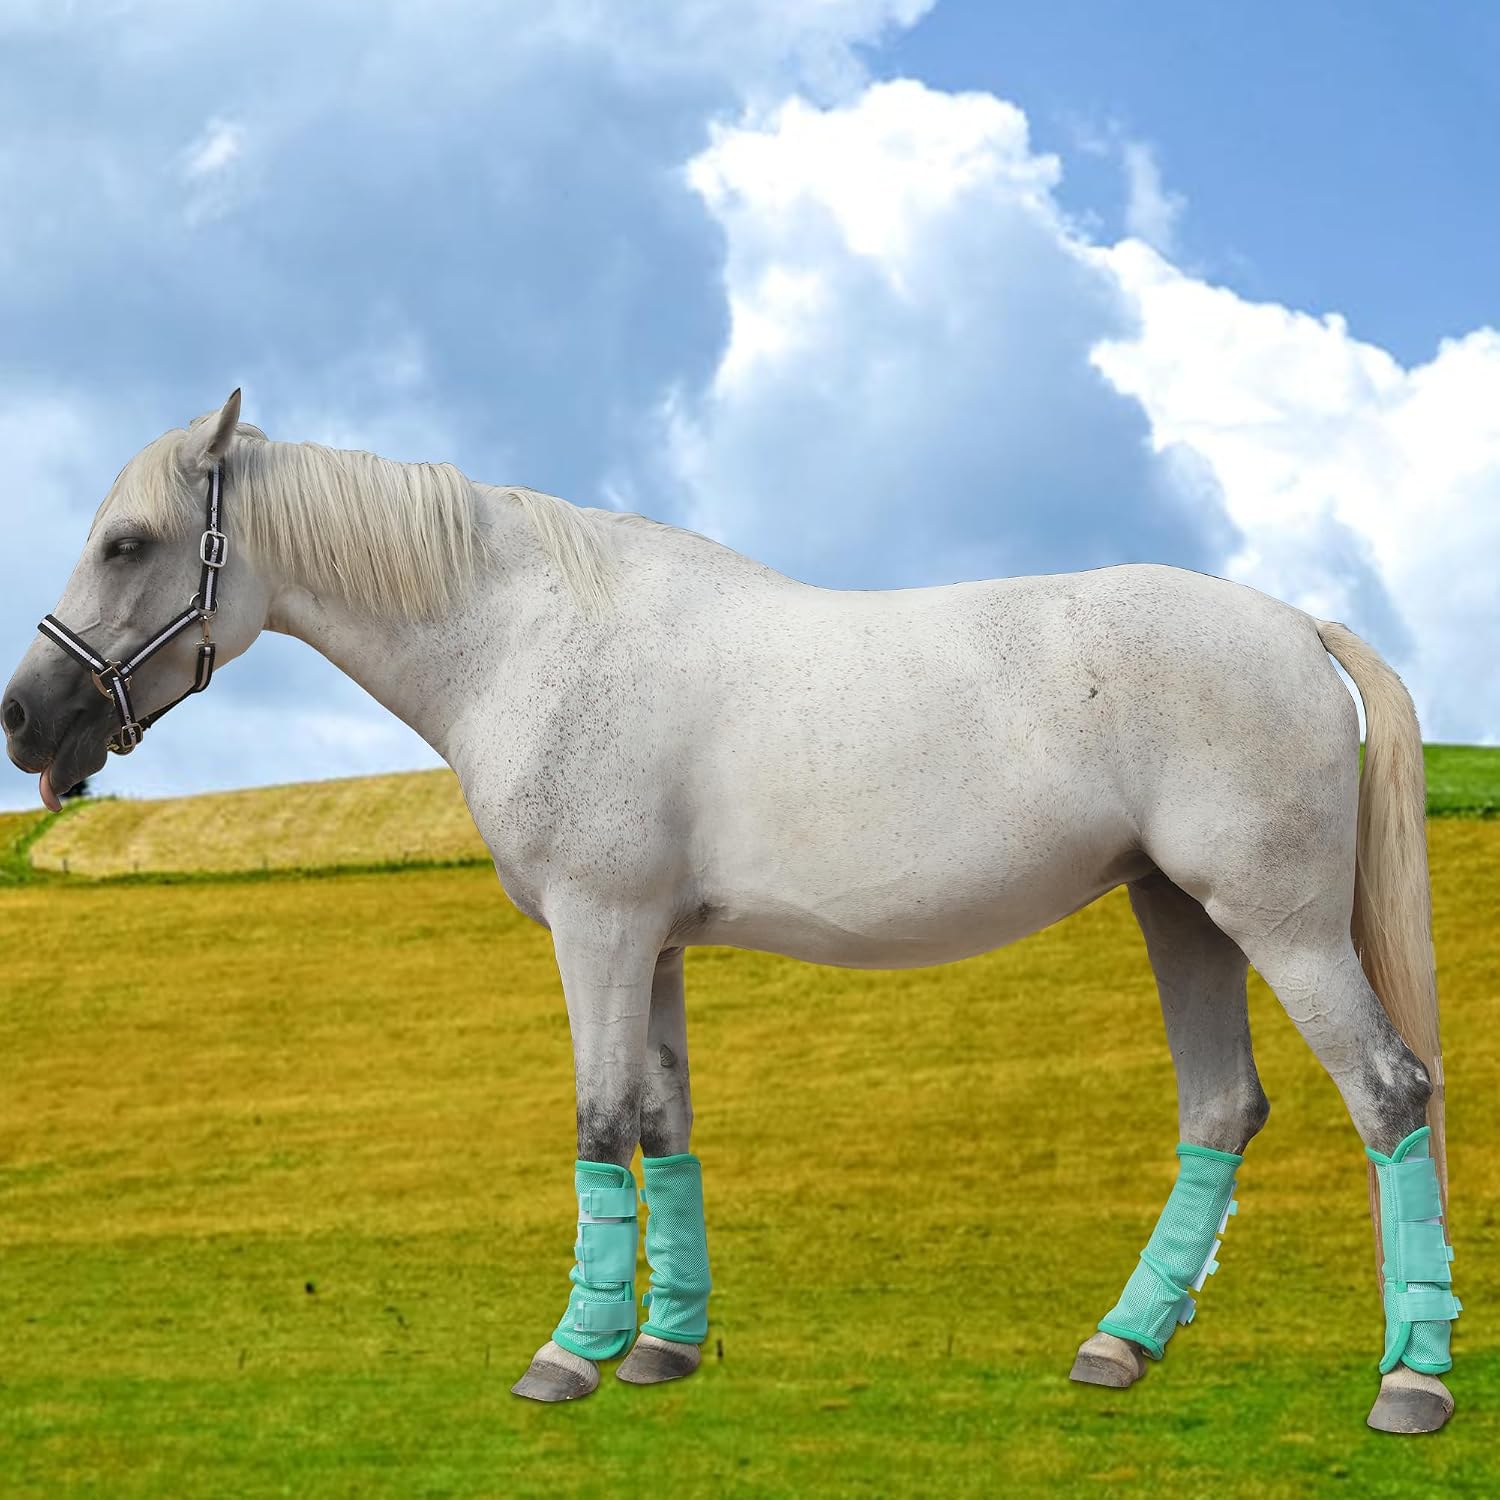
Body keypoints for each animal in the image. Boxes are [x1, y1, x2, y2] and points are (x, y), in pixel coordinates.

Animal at [2, 392, 1458, 1432]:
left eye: (127, 543)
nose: (24, 720)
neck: (525, 639)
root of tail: (1293, 624)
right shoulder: (650, 946)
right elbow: (664, 1126)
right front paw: (659, 1348)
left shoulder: (597, 932)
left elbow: (598, 1125)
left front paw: (568, 1359)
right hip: (1182, 914)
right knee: (1222, 1109)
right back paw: (1124, 1347)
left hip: (1277, 925)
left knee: (1389, 1093)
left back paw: (1412, 1381)